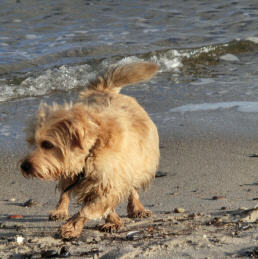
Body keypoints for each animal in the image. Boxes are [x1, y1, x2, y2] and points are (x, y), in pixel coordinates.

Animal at [20, 61, 159, 240]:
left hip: (140, 162)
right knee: (64, 192)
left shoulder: (112, 180)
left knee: (132, 187)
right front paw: (110, 220)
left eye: (47, 144)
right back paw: (60, 210)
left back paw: (136, 209)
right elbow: (97, 204)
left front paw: (72, 226)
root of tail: (104, 89)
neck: (92, 149)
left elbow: (90, 208)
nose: (24, 166)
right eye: (32, 143)